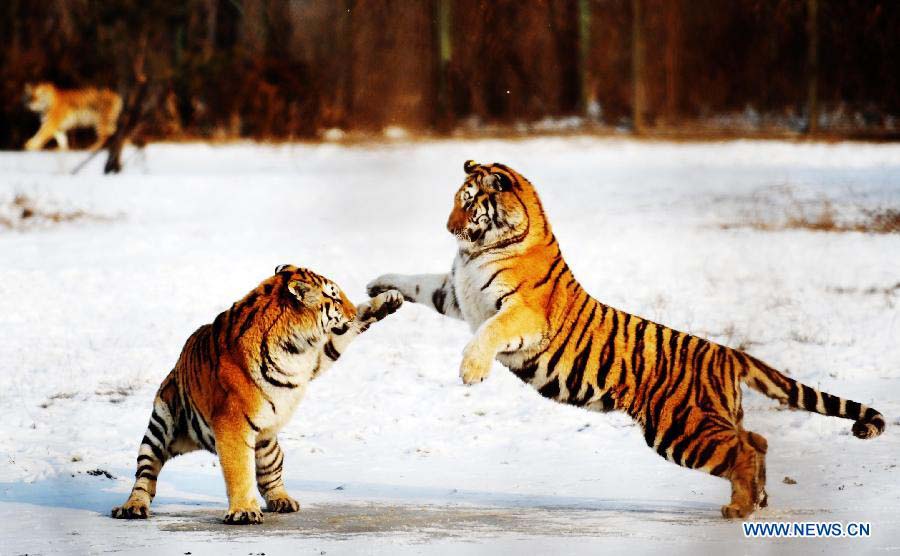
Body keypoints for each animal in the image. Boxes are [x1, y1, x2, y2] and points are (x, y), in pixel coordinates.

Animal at [112, 268, 404, 524]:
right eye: (334, 297)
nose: (351, 310)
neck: (298, 347)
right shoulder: (231, 424)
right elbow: (239, 470)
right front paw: (243, 511)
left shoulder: (316, 358)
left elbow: (344, 335)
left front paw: (386, 301)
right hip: (161, 424)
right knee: (145, 474)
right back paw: (132, 507)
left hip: (267, 442)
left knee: (270, 474)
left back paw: (283, 500)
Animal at [370, 159, 888, 520]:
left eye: (469, 202)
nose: (449, 227)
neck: (479, 250)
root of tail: (726, 351)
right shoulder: (456, 295)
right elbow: (416, 280)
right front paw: (378, 285)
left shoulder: (519, 314)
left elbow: (489, 333)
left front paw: (471, 370)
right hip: (706, 421)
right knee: (756, 438)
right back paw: (756, 501)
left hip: (681, 429)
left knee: (743, 448)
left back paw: (740, 508)